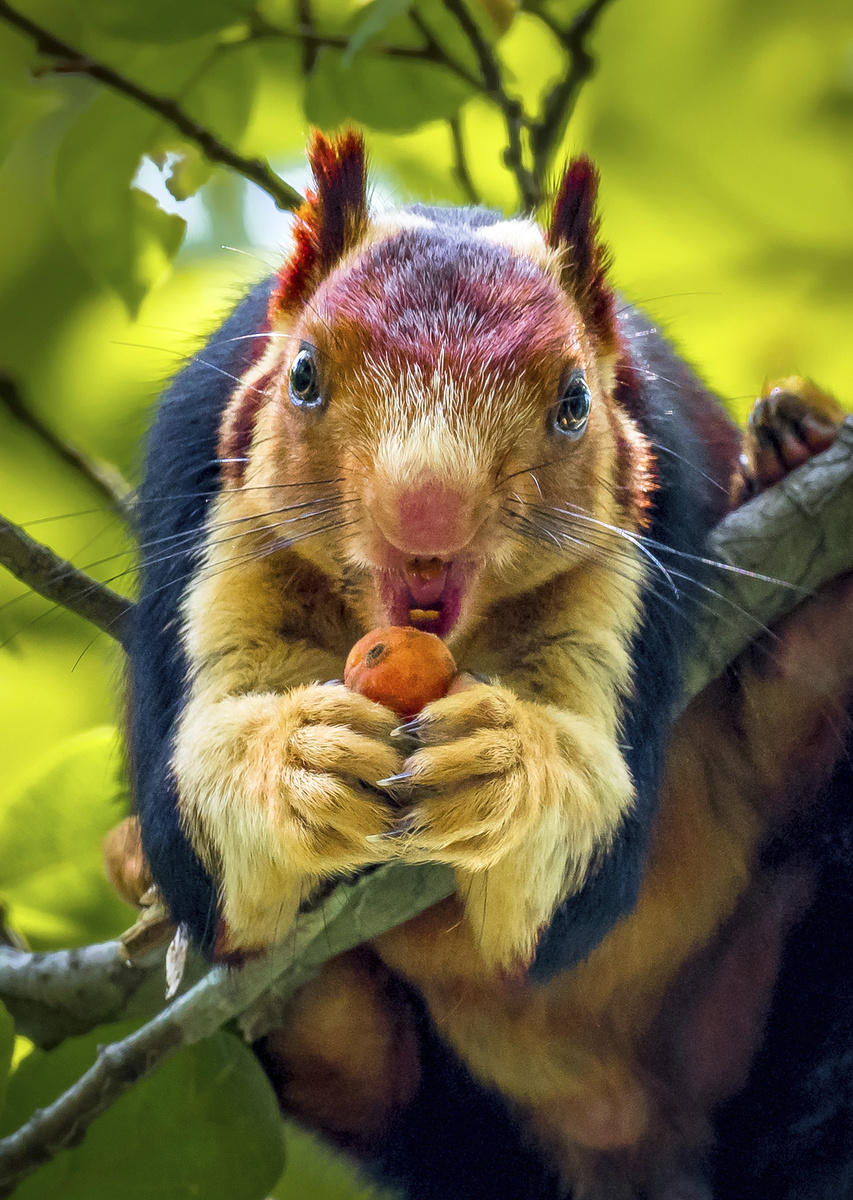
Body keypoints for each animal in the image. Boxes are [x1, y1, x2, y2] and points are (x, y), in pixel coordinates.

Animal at [128, 126, 853, 1195]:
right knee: (372, 1079)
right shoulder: (202, 492)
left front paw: (502, 769)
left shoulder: (649, 538)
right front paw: (294, 763)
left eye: (574, 401)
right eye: (301, 375)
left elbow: (581, 875)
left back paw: (799, 497)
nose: (426, 511)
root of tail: (629, 1134)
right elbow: (196, 836)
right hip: (445, 1122)